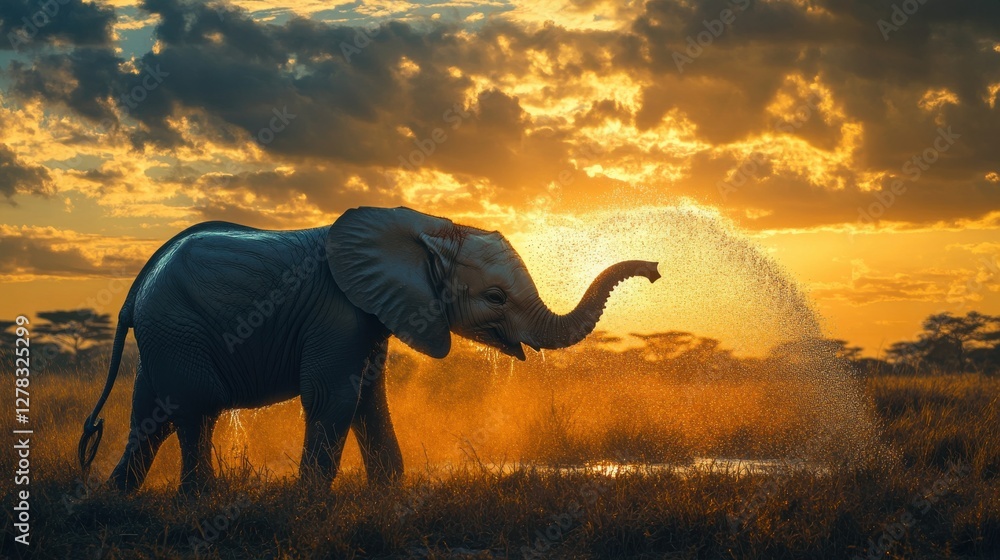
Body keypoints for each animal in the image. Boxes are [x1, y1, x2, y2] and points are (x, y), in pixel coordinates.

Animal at [78, 206, 660, 493]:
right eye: (495, 297)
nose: (656, 270)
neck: (429, 229)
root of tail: (137, 287)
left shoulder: (373, 313)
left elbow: (368, 398)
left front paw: (385, 495)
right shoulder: (337, 310)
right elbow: (334, 395)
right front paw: (309, 505)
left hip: (164, 337)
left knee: (152, 413)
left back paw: (116, 499)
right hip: (178, 327)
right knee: (196, 407)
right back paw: (200, 501)